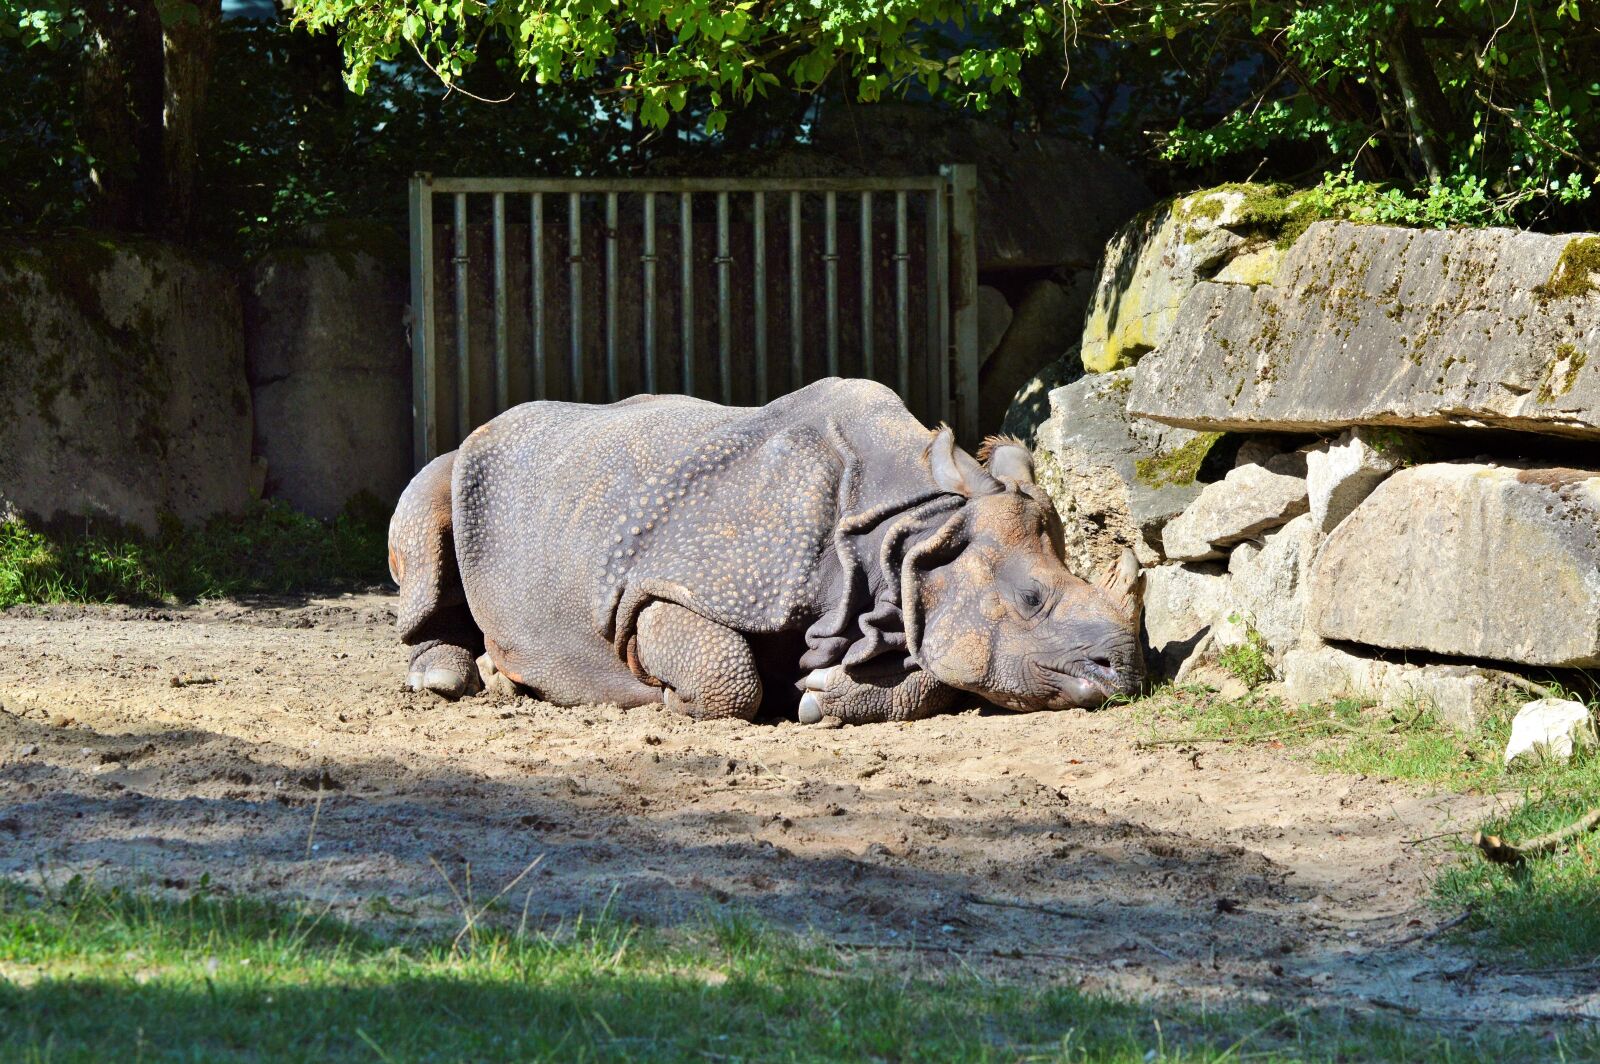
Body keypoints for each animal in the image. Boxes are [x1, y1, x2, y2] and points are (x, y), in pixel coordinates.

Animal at [388, 378, 1144, 724]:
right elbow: (726, 676)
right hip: (469, 463)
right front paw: (663, 698)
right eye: (1031, 600)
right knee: (428, 497)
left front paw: (822, 698)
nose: (1127, 672)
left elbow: (934, 665)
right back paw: (454, 680)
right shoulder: (676, 583)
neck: (912, 528)